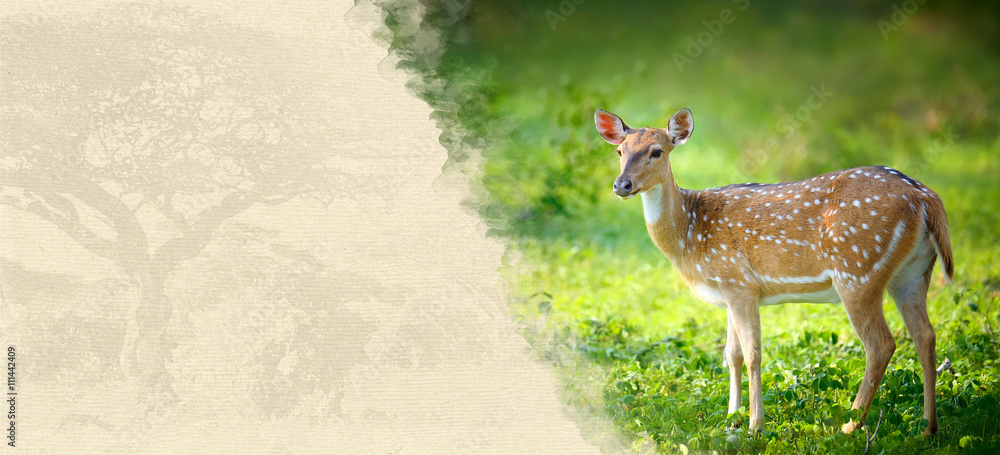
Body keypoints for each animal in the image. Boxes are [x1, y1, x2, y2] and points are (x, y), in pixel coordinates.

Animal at [594, 107, 953, 435]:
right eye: (620, 151)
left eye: (657, 151)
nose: (622, 184)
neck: (689, 233)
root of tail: (926, 198)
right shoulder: (729, 290)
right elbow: (732, 354)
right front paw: (731, 419)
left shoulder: (739, 283)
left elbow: (752, 353)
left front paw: (755, 425)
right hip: (912, 273)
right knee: (925, 334)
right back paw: (928, 428)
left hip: (857, 270)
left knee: (881, 344)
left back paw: (849, 428)